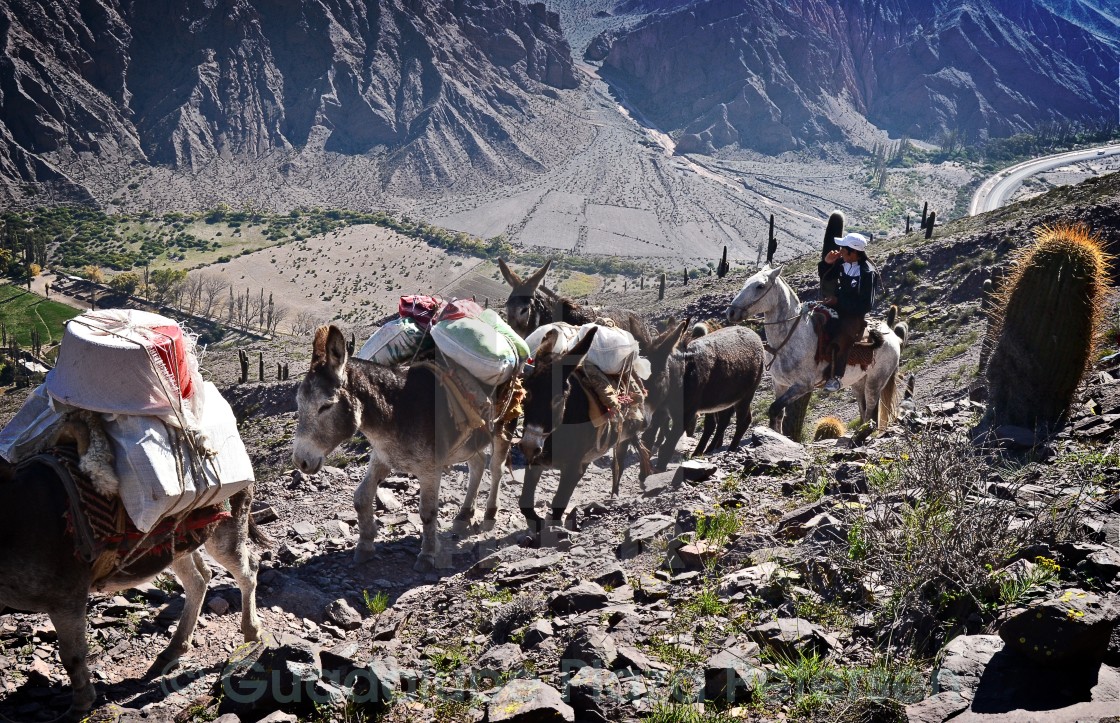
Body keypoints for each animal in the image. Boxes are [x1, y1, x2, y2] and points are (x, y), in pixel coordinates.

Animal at [721, 267, 904, 434]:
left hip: (875, 381)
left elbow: (774, 409)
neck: (790, 337)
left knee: (871, 409)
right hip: (859, 382)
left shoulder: (802, 386)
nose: (731, 312)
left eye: (760, 286)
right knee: (865, 408)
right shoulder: (779, 383)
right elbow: (778, 415)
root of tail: (892, 334)